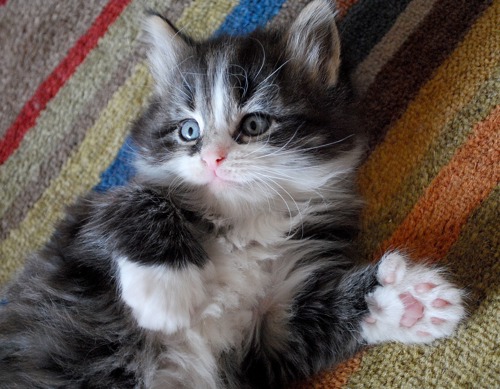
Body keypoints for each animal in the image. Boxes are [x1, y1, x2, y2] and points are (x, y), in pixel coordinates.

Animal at [0, 1, 464, 386]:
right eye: (189, 131)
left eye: (254, 124)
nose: (212, 159)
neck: (240, 223)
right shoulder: (83, 220)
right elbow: (141, 199)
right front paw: (165, 293)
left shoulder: (269, 337)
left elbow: (315, 323)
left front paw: (406, 302)